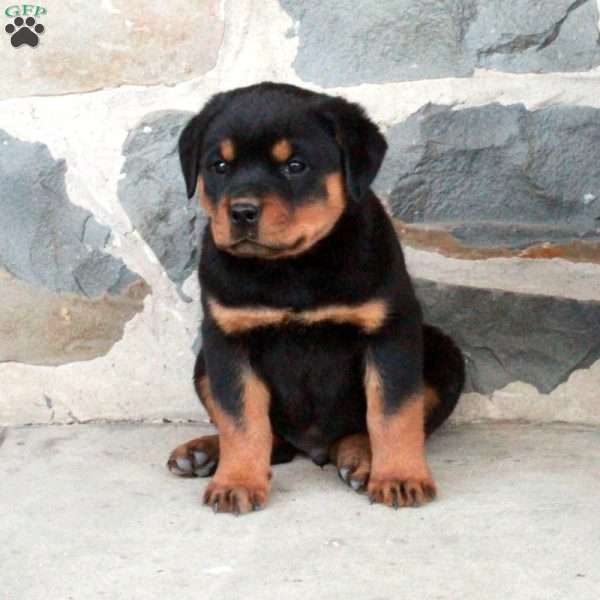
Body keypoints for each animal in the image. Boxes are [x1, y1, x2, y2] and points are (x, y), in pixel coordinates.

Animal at [166, 82, 466, 516]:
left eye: (295, 165)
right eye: (219, 166)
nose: (241, 212)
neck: (292, 267)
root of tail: (314, 447)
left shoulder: (390, 329)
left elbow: (393, 412)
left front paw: (399, 477)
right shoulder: (227, 339)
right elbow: (241, 419)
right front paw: (237, 481)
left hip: (444, 352)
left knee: (368, 428)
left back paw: (362, 459)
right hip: (203, 362)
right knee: (270, 439)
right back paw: (204, 452)